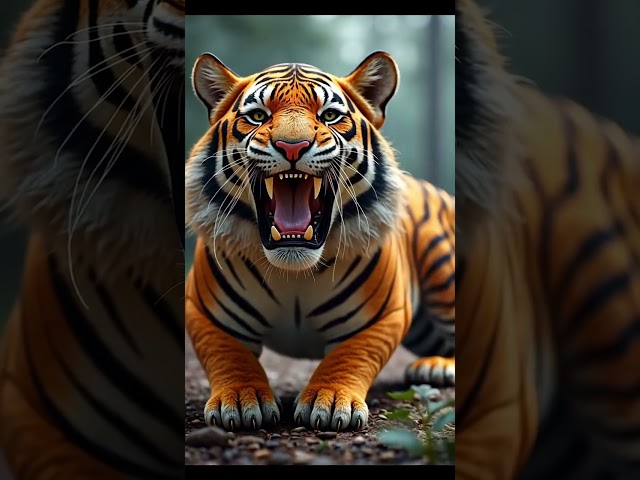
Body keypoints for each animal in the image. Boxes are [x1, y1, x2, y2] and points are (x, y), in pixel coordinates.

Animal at [184, 50, 455, 432]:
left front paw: (328, 400)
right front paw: (239, 400)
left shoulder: (383, 315)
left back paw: (438, 366)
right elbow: (229, 354)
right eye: (258, 116)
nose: (292, 146)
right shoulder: (204, 311)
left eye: (329, 116)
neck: (293, 271)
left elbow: (350, 355)